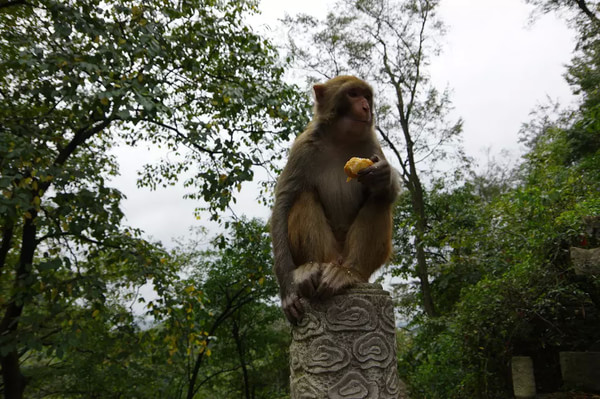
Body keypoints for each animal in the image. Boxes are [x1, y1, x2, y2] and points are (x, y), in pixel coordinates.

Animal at [270, 76, 398, 326]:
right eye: (353, 94)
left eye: (366, 96)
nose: (366, 107)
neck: (340, 139)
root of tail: (336, 260)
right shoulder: (304, 146)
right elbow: (284, 201)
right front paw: (288, 289)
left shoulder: (372, 146)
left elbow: (388, 193)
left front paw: (383, 175)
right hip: (327, 251)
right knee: (303, 195)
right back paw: (310, 270)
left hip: (355, 259)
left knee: (379, 199)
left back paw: (349, 274)